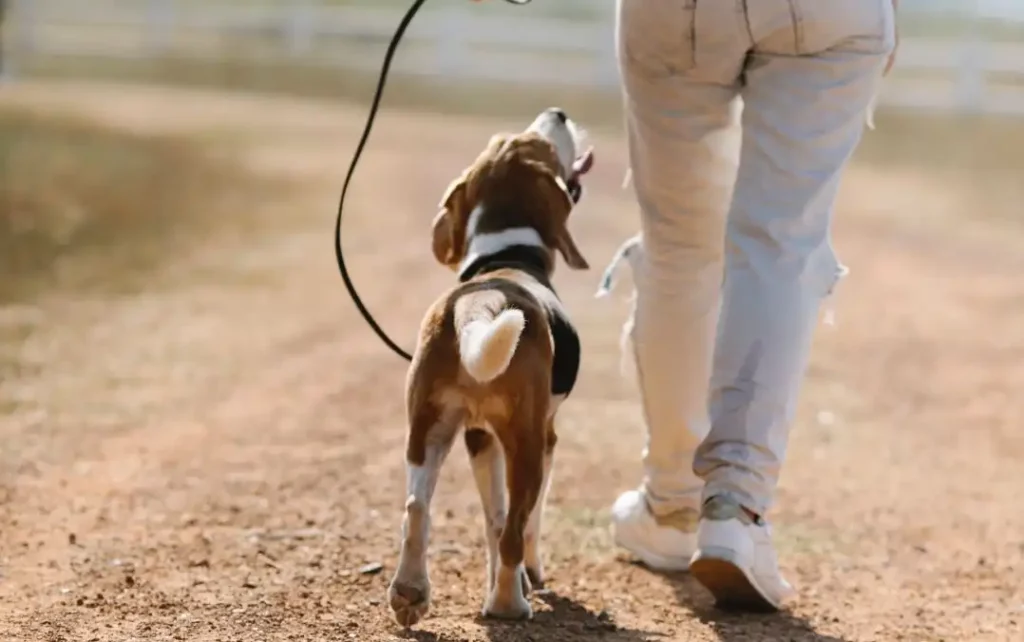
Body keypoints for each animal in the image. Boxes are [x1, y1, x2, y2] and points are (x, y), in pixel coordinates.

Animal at [385, 106, 593, 626]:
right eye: (541, 144)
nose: (558, 112)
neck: (506, 256)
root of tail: (483, 300)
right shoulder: (545, 436)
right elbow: (523, 525)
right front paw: (529, 578)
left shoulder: (479, 438)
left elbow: (492, 521)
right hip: (526, 443)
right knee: (517, 528)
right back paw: (508, 605)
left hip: (427, 429)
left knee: (417, 509)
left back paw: (410, 593)